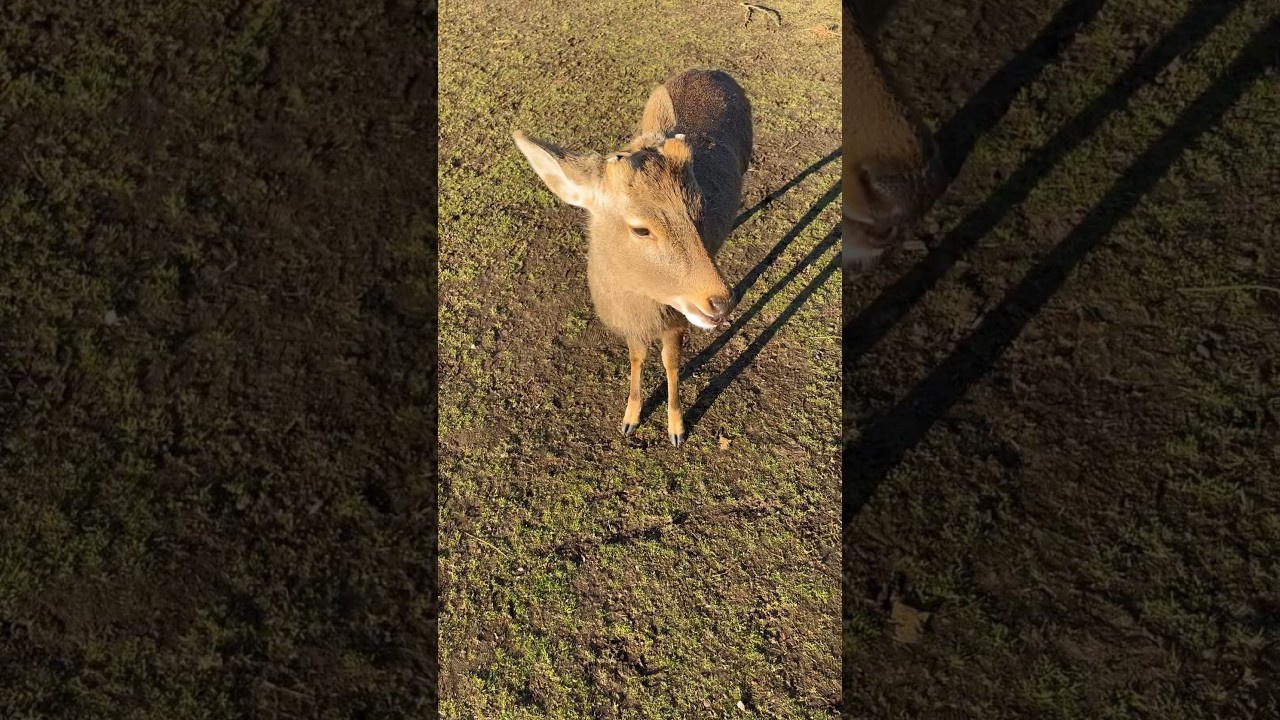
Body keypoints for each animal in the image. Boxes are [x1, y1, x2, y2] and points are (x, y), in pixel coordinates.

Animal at [512, 69, 752, 448]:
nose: (720, 303)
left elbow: (671, 362)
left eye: (699, 208)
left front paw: (676, 429)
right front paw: (629, 420)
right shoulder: (631, 324)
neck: (644, 311)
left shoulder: (676, 320)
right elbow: (636, 358)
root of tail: (712, 71)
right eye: (641, 229)